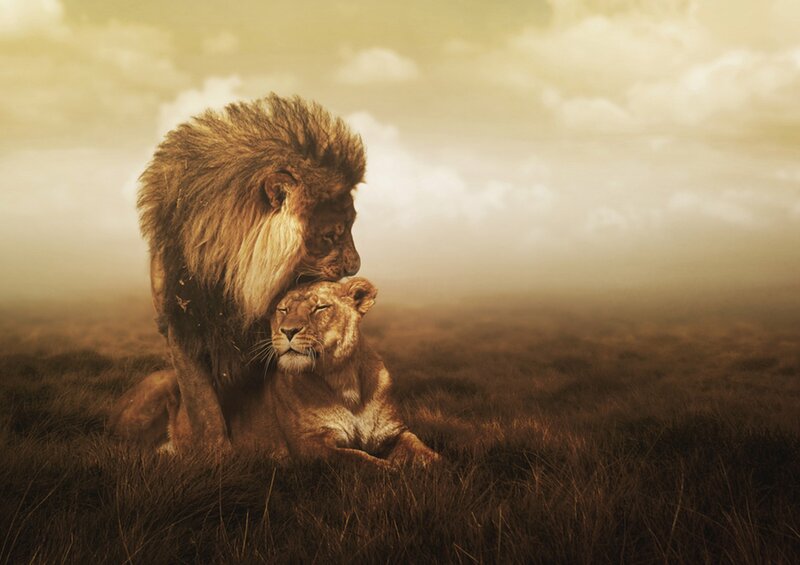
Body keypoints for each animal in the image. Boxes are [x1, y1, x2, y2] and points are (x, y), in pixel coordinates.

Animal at [121, 94, 367, 451]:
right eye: (331, 235)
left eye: (350, 227)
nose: (355, 267)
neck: (226, 270)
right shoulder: (180, 327)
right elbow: (203, 404)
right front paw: (217, 453)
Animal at [158, 278, 439, 468]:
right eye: (282, 310)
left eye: (320, 308)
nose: (288, 330)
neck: (344, 380)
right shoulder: (310, 444)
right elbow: (358, 459)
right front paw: (391, 470)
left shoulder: (393, 431)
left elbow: (421, 447)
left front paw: (439, 468)